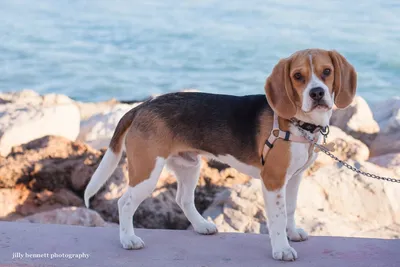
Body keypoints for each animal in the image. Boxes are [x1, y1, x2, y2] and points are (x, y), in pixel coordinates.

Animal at [83, 48, 356, 262]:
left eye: (326, 72)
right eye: (298, 76)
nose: (317, 93)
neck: (299, 123)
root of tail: (141, 106)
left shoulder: (294, 178)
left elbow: (289, 209)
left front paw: (292, 233)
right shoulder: (273, 180)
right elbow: (277, 218)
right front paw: (282, 249)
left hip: (188, 165)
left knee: (183, 199)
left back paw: (201, 225)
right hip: (147, 171)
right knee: (124, 202)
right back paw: (128, 239)